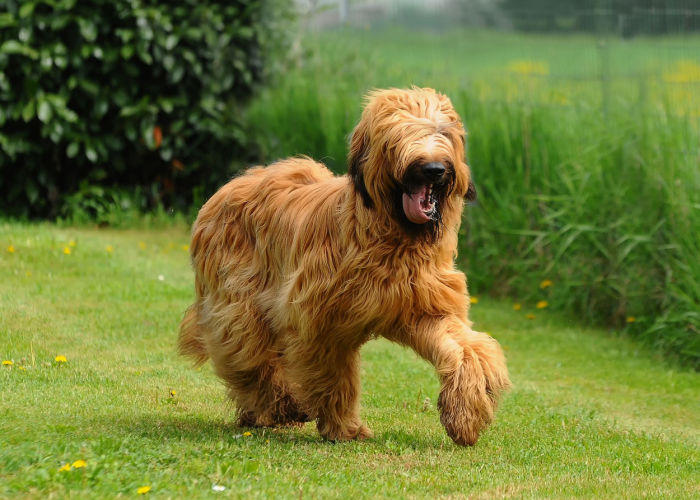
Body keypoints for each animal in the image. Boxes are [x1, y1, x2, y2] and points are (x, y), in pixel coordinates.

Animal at [179, 86, 508, 446]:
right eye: (399, 133)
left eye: (443, 132)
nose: (434, 169)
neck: (393, 237)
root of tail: (233, 186)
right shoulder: (321, 322)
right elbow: (335, 375)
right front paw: (344, 428)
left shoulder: (424, 306)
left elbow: (466, 349)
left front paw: (466, 416)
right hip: (239, 300)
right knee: (248, 354)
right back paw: (279, 406)